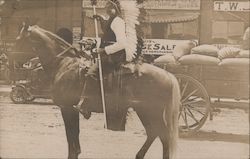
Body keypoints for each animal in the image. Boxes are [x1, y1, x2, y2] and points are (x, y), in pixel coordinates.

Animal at [16, 23, 180, 159]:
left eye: (19, 39)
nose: (17, 64)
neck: (64, 64)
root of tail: (168, 75)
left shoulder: (67, 108)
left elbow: (71, 137)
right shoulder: (71, 110)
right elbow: (75, 136)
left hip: (151, 111)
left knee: (163, 135)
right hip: (144, 110)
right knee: (154, 132)